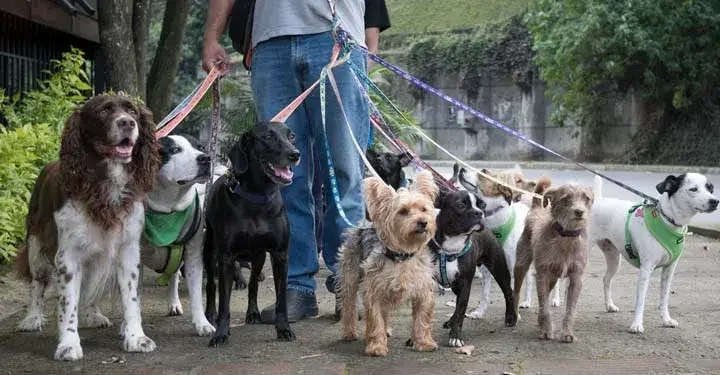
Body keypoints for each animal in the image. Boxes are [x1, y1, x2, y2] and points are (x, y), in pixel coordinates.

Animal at [592, 172, 716, 334]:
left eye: (710, 188)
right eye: (693, 189)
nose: (715, 201)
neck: (668, 220)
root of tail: (599, 200)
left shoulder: (669, 269)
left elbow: (664, 297)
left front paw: (666, 320)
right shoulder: (646, 269)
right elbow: (640, 300)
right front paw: (636, 324)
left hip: (614, 258)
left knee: (606, 279)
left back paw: (609, 305)